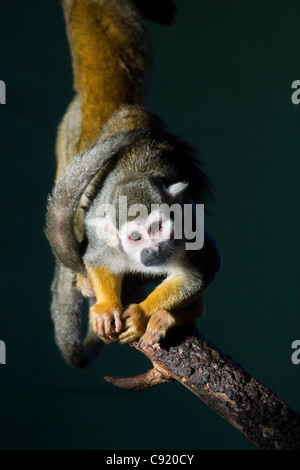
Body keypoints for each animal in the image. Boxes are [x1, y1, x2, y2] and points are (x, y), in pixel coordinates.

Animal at [45, 0, 221, 368]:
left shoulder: (186, 231)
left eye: (158, 228)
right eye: (136, 237)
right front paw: (107, 305)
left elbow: (200, 270)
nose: (152, 251)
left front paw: (142, 314)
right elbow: (97, 259)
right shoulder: (107, 243)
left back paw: (173, 317)